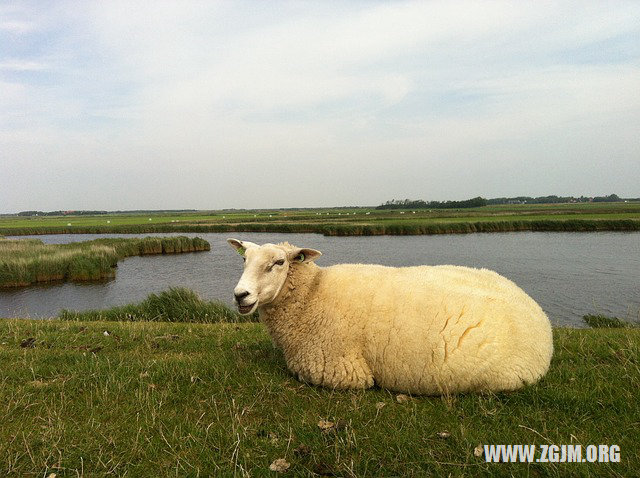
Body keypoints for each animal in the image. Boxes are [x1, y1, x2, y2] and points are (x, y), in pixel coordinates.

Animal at [228, 237, 552, 394]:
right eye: (244, 260)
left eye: (279, 263)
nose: (240, 295)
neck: (312, 295)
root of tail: (541, 318)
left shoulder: (342, 372)